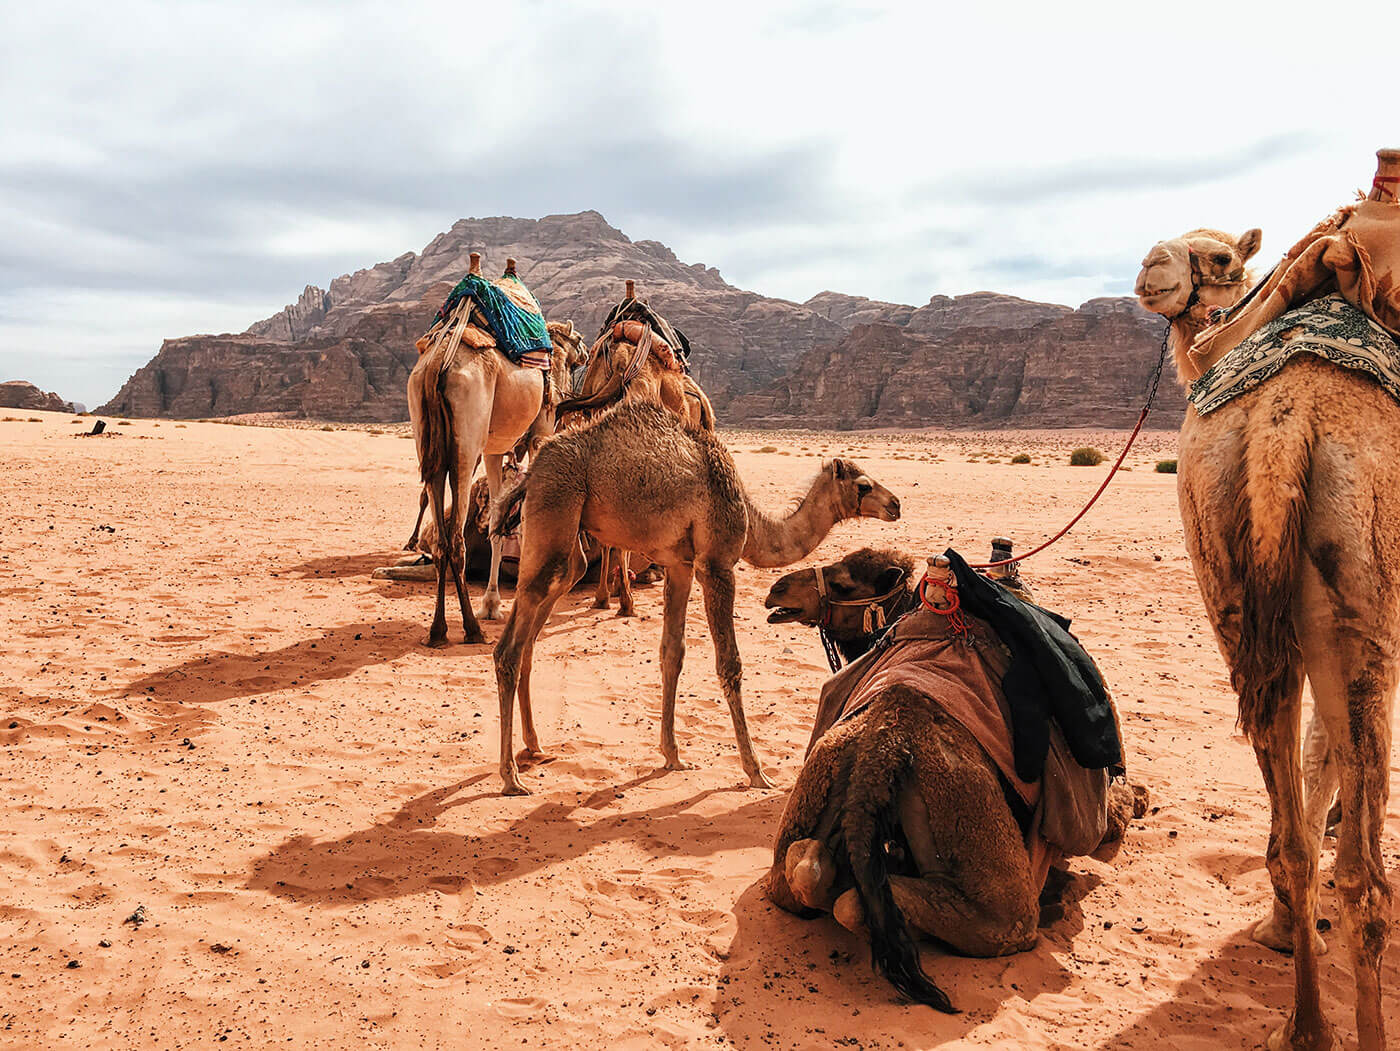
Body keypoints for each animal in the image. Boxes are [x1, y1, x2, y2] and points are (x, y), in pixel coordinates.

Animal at [408, 257, 582, 649]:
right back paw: (469, 628)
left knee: (441, 535)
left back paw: (438, 629)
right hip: (464, 443)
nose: (564, 397)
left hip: (428, 440)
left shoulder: (495, 448)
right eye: (576, 352)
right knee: (455, 538)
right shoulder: (540, 432)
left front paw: (492, 602)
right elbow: (526, 517)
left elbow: (498, 521)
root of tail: (437, 365)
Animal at [487, 403, 901, 794]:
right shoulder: (716, 564)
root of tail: (532, 472)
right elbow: (730, 664)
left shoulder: (680, 565)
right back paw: (510, 777)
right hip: (557, 503)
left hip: (561, 534)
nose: (896, 504)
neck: (752, 521)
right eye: (864, 485)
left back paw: (534, 746)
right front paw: (756, 771)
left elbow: (673, 652)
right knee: (509, 648)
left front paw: (672, 755)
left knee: (534, 630)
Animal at [767, 542, 1148, 1013]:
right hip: (975, 827)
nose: (777, 589)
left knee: (805, 873)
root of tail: (884, 742)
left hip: (820, 780)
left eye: (842, 583)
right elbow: (1120, 806)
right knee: (992, 919)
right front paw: (1141, 797)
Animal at [1136, 151, 1400, 1046]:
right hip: (1361, 604)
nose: (1150, 267)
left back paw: (1306, 1019)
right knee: (1364, 875)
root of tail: (1289, 414)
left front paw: (1284, 925)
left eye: (1221, 257)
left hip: (1225, 570)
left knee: (1291, 827)